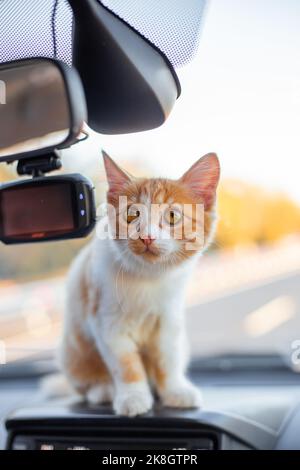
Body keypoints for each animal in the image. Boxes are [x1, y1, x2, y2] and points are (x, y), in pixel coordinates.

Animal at [60, 152, 220, 416]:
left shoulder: (169, 319)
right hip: (72, 351)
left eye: (173, 216)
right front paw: (132, 397)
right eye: (131, 215)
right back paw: (102, 390)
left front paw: (175, 390)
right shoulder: (106, 322)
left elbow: (167, 358)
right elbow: (125, 364)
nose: (147, 236)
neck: (147, 276)